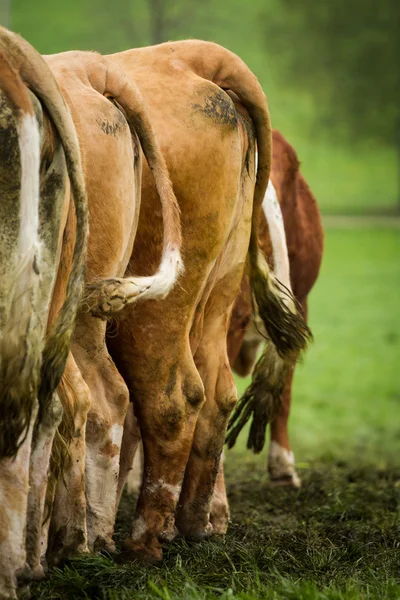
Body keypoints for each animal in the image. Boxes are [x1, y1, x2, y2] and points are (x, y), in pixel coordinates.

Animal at [97, 38, 312, 564]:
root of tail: (189, 55)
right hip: (216, 294)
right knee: (215, 394)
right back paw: (197, 522)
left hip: (148, 307)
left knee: (169, 399)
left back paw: (139, 542)